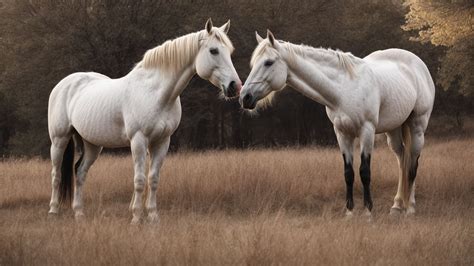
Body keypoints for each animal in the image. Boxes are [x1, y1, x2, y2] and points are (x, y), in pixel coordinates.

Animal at [48, 18, 241, 223]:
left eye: (229, 51)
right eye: (214, 50)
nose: (235, 86)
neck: (155, 93)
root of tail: (64, 83)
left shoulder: (162, 142)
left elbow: (153, 179)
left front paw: (153, 216)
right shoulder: (139, 140)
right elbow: (139, 180)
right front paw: (136, 217)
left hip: (92, 145)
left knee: (80, 172)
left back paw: (79, 213)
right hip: (59, 140)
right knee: (56, 174)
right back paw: (53, 210)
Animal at [241, 30, 434, 216]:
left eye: (268, 62)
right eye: (254, 63)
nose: (245, 97)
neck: (344, 89)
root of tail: (418, 64)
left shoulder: (367, 131)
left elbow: (365, 172)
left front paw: (367, 211)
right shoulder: (342, 133)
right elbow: (348, 173)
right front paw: (349, 212)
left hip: (417, 126)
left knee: (413, 164)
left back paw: (410, 208)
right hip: (394, 130)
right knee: (403, 161)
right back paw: (397, 206)